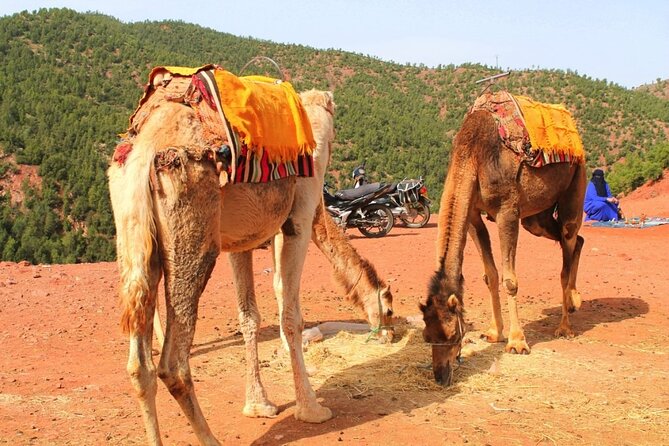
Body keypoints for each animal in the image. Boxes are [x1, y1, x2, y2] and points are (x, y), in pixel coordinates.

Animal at [107, 66, 344, 442]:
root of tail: (145, 151)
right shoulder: (298, 218)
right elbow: (289, 313)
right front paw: (311, 409)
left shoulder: (240, 240)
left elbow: (249, 316)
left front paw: (259, 404)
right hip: (192, 223)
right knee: (172, 364)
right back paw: (210, 438)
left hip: (133, 239)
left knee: (139, 363)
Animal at [422, 106, 584, 386]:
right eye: (427, 337)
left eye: (453, 334)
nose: (440, 376)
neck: (472, 154)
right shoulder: (474, 214)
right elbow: (490, 275)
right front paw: (494, 332)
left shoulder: (507, 209)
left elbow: (510, 280)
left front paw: (517, 342)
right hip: (536, 218)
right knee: (577, 240)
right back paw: (574, 301)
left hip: (576, 184)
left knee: (568, 244)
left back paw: (565, 326)